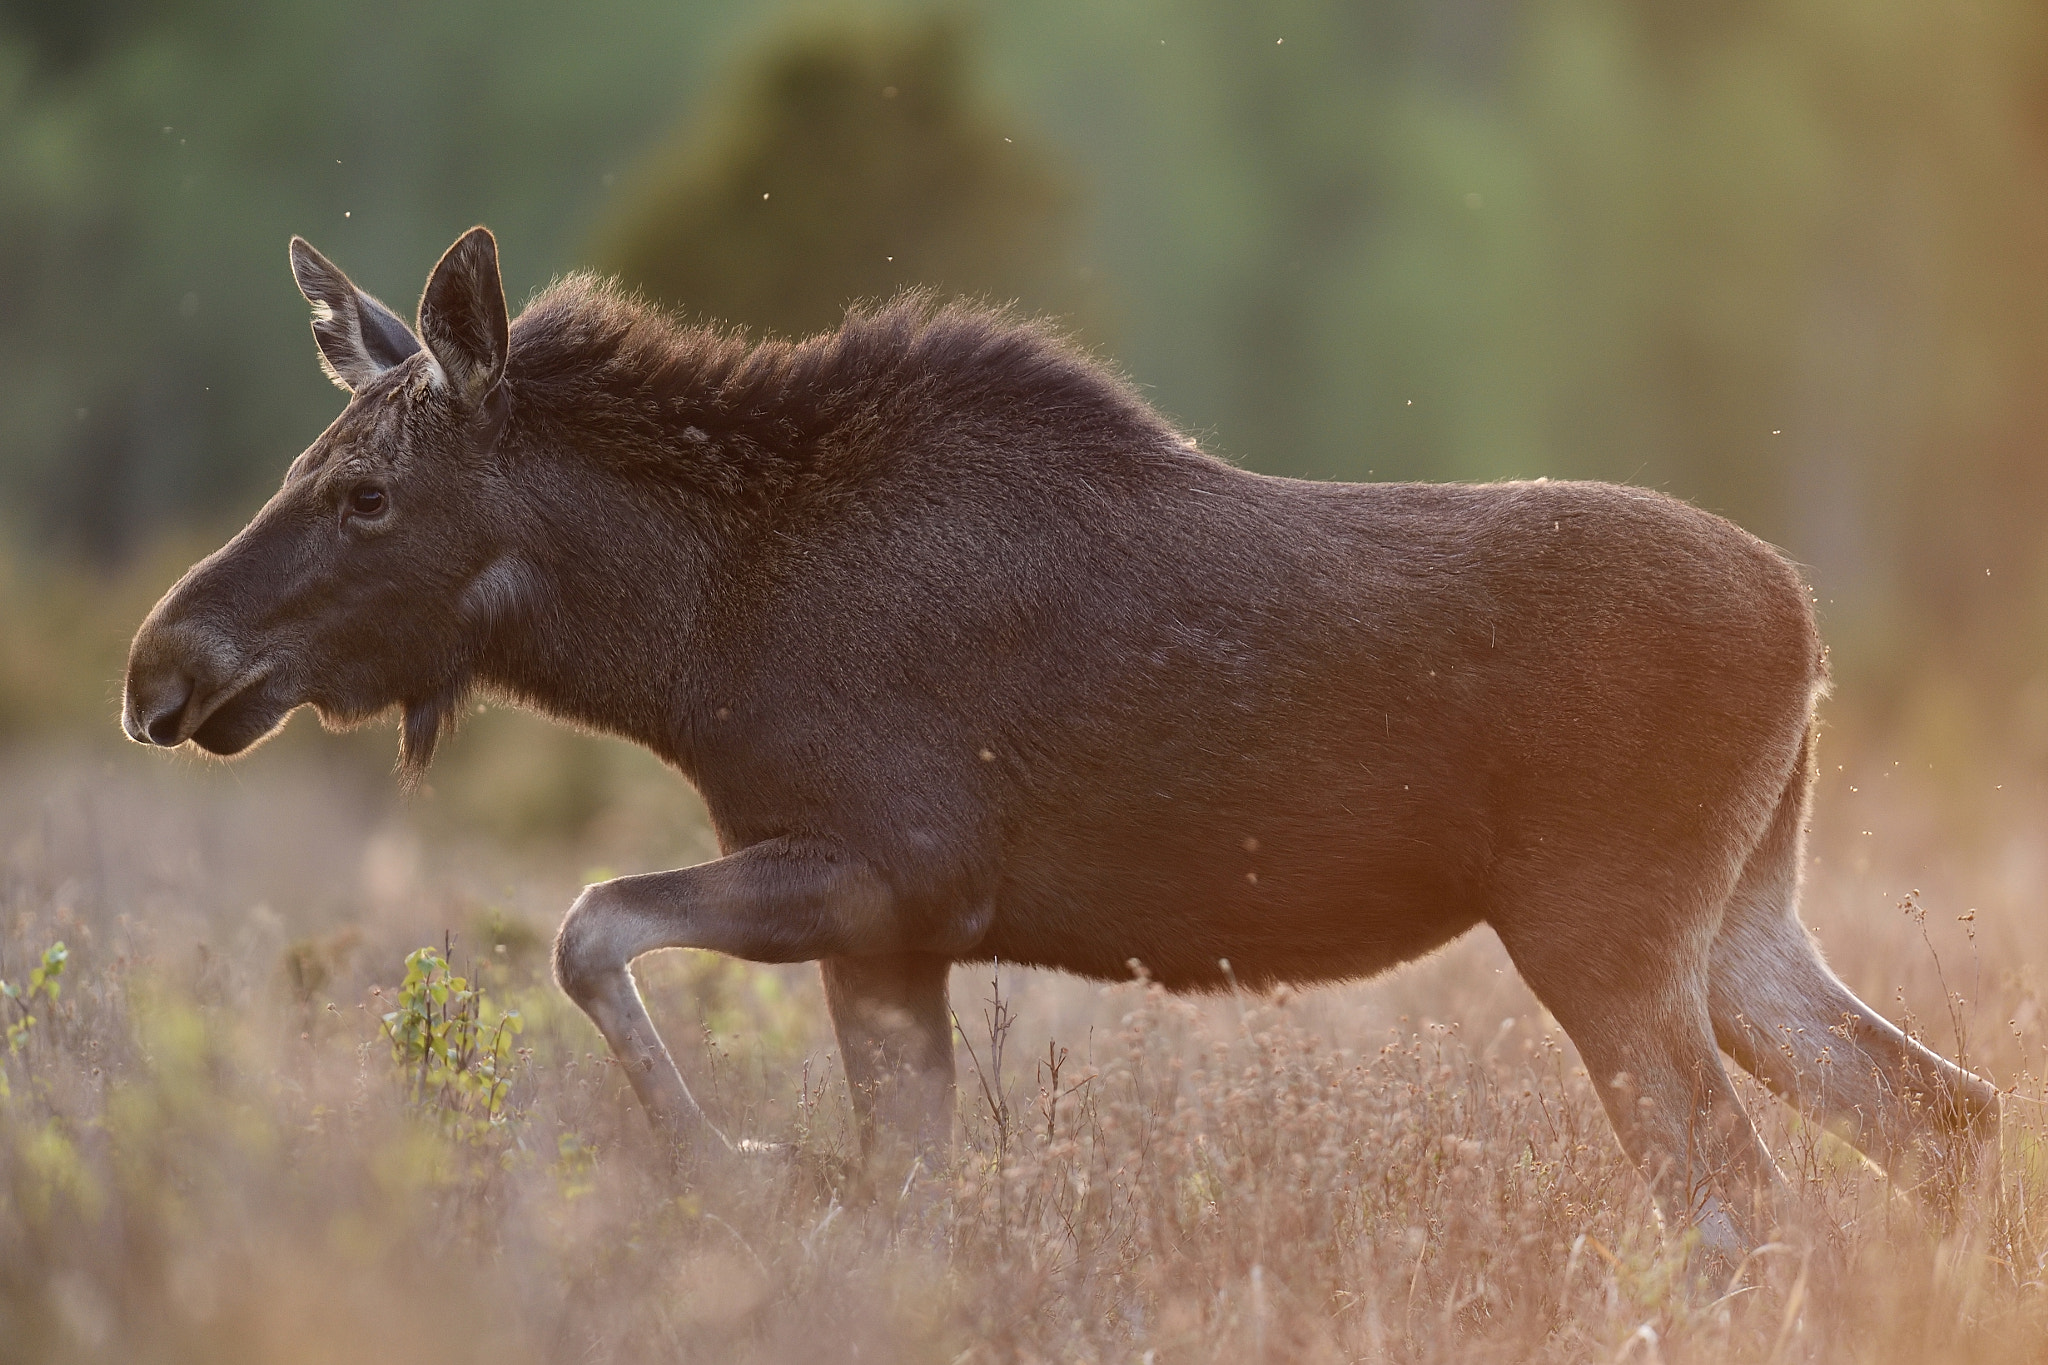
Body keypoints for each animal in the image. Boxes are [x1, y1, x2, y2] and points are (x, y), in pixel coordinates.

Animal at [119, 224, 1990, 1260]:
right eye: (305, 467)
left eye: (366, 493)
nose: (162, 664)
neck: (682, 640)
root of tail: (1812, 635)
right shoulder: (891, 939)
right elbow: (904, 1195)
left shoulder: (890, 872)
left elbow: (587, 924)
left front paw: (734, 1163)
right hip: (1744, 923)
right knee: (1945, 1123)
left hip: (1606, 936)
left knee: (1749, 1211)